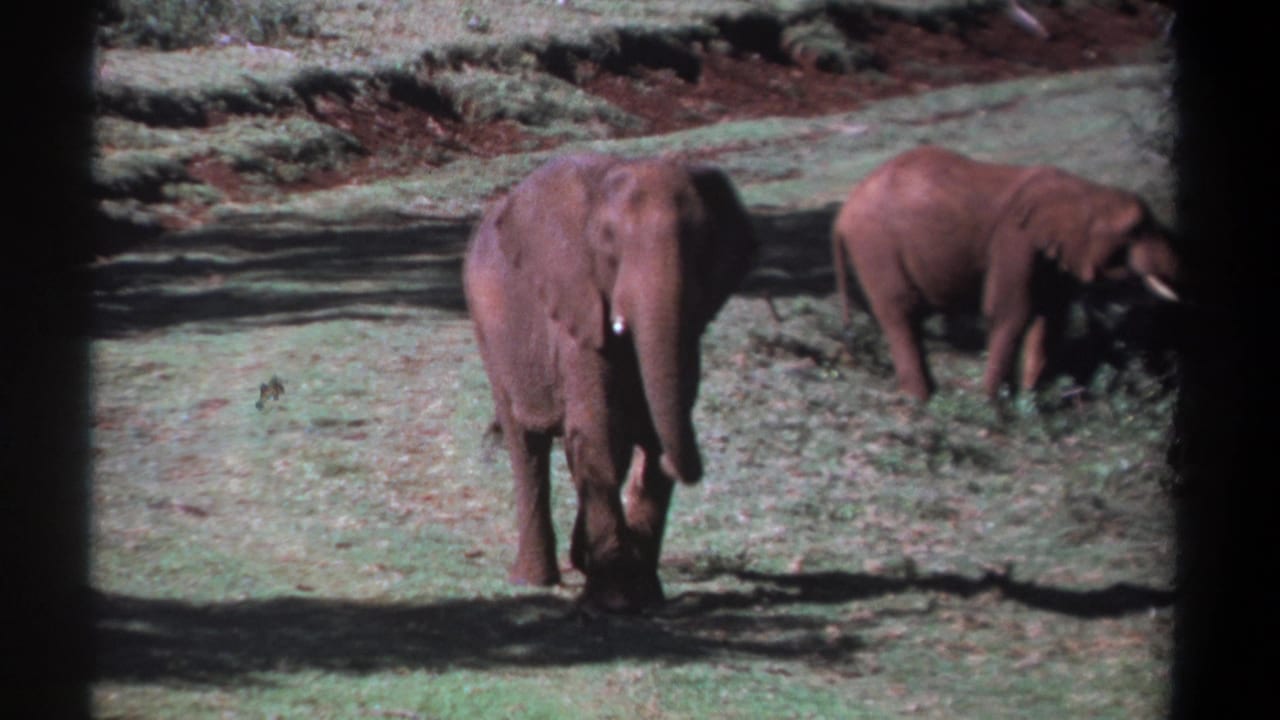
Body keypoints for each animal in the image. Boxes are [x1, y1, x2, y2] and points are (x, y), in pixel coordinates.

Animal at [462, 153, 757, 612]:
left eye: (702, 244)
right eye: (608, 245)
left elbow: (644, 437)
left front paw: (644, 595)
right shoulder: (577, 306)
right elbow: (597, 429)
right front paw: (613, 601)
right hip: (488, 330)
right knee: (525, 443)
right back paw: (533, 580)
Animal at [831, 145, 1180, 401]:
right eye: (1134, 230)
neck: (1083, 191)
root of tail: (842, 216)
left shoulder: (1052, 254)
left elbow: (1052, 318)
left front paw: (1032, 401)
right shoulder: (1015, 239)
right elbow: (1012, 311)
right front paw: (996, 405)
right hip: (875, 245)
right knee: (900, 312)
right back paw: (921, 401)